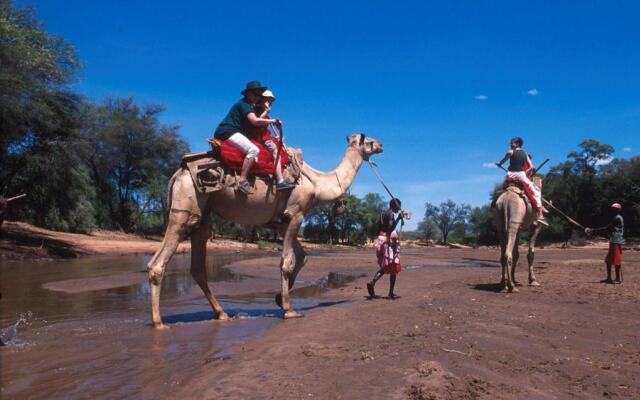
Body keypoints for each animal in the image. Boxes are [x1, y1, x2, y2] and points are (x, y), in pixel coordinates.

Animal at [148, 134, 382, 328]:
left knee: (198, 265)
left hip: (203, 214)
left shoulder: (281, 222)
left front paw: (279, 299)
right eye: (369, 141)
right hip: (185, 208)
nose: (381, 145)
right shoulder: (296, 214)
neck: (316, 183)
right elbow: (287, 262)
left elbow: (302, 256)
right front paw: (288, 309)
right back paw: (159, 322)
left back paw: (222, 314)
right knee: (158, 262)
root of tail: (178, 174)